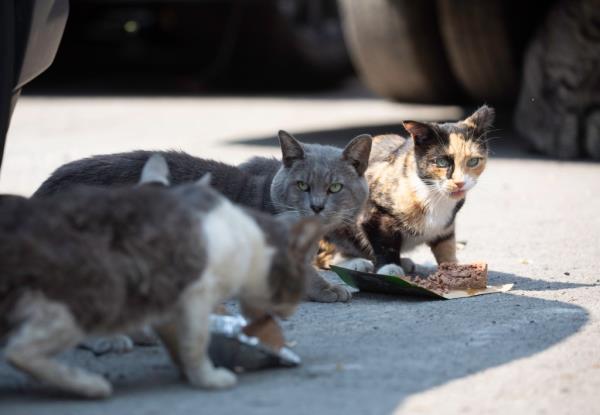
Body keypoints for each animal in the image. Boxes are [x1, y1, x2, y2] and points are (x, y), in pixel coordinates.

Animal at [0, 154, 324, 398]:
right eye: (294, 285)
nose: (288, 312)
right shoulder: (191, 291)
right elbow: (194, 340)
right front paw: (208, 376)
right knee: (29, 345)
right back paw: (94, 375)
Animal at [324, 106, 496, 276]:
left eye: (473, 161)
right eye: (441, 162)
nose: (460, 183)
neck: (432, 193)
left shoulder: (446, 226)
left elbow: (446, 245)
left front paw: (453, 268)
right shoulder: (372, 211)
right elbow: (385, 243)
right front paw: (389, 267)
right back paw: (355, 263)